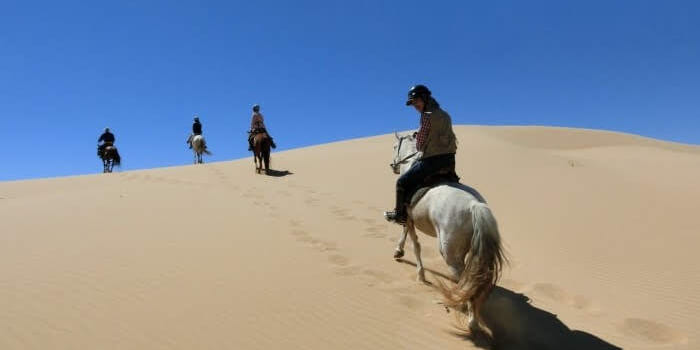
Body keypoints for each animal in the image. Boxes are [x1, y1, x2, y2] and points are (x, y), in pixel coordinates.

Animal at [392, 132, 506, 336]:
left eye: (394, 146)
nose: (394, 166)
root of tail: (474, 205)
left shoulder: (408, 217)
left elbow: (415, 245)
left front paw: (420, 274)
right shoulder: (409, 218)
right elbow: (406, 234)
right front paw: (399, 252)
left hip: (450, 255)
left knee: (467, 283)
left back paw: (470, 321)